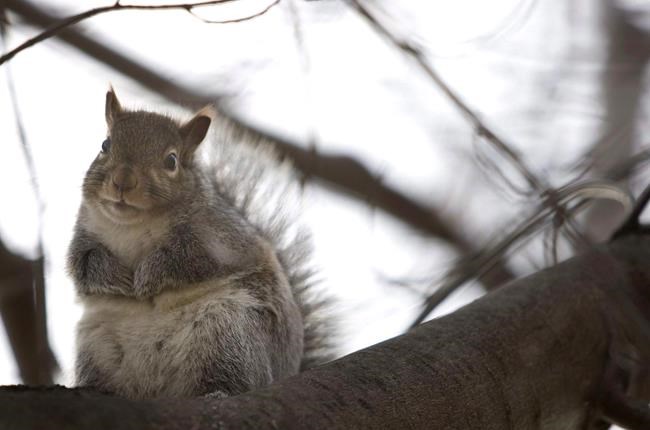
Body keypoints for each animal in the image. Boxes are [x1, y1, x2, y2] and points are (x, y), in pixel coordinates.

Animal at [66, 89, 332, 399]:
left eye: (171, 161)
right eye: (105, 145)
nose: (123, 181)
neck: (133, 226)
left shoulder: (220, 239)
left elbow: (186, 261)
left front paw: (146, 277)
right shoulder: (84, 234)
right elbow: (83, 265)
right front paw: (117, 277)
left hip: (228, 335)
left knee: (234, 379)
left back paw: (217, 393)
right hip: (97, 348)